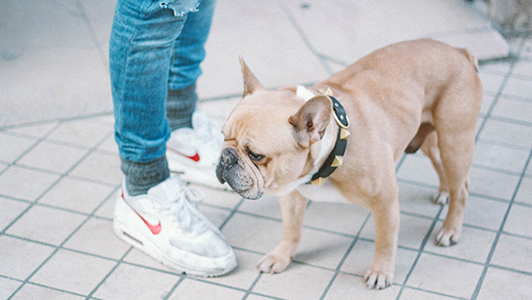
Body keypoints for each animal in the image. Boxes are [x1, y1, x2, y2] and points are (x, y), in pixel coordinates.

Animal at [215, 38, 482, 290]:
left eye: (256, 155)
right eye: (223, 136)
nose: (226, 158)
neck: (333, 149)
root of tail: (459, 52)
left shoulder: (385, 202)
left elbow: (385, 240)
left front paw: (381, 272)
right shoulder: (291, 194)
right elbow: (291, 229)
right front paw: (280, 257)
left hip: (454, 141)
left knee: (462, 187)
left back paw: (450, 229)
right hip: (430, 137)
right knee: (440, 162)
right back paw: (444, 192)